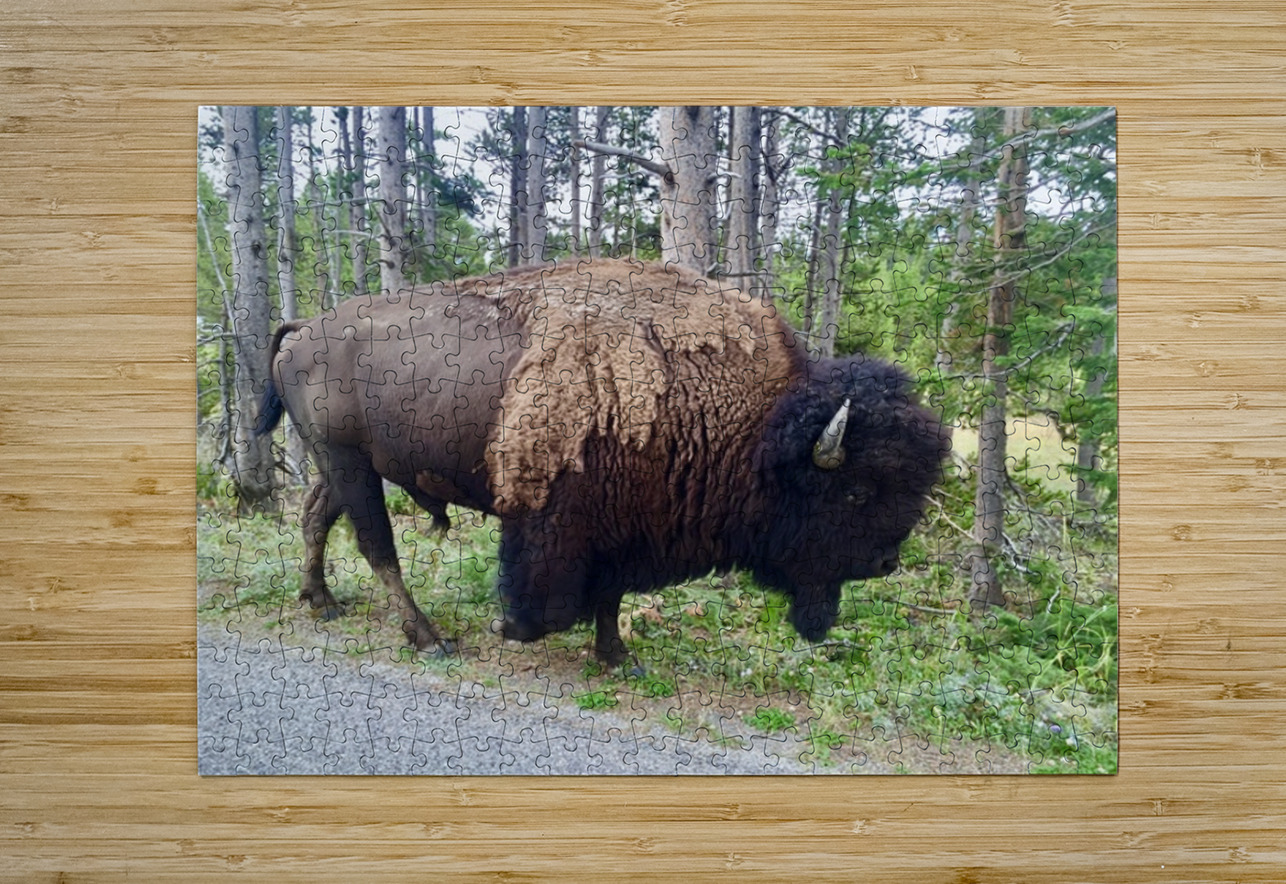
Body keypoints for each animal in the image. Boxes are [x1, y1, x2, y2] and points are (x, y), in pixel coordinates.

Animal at [256, 259, 949, 664]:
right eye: (856, 492)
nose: (886, 562)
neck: (753, 427)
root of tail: (304, 328)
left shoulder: (626, 525)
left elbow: (611, 595)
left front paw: (617, 656)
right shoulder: (557, 521)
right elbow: (551, 602)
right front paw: (509, 629)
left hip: (340, 464)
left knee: (317, 516)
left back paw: (320, 600)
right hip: (350, 464)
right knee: (376, 546)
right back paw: (429, 638)